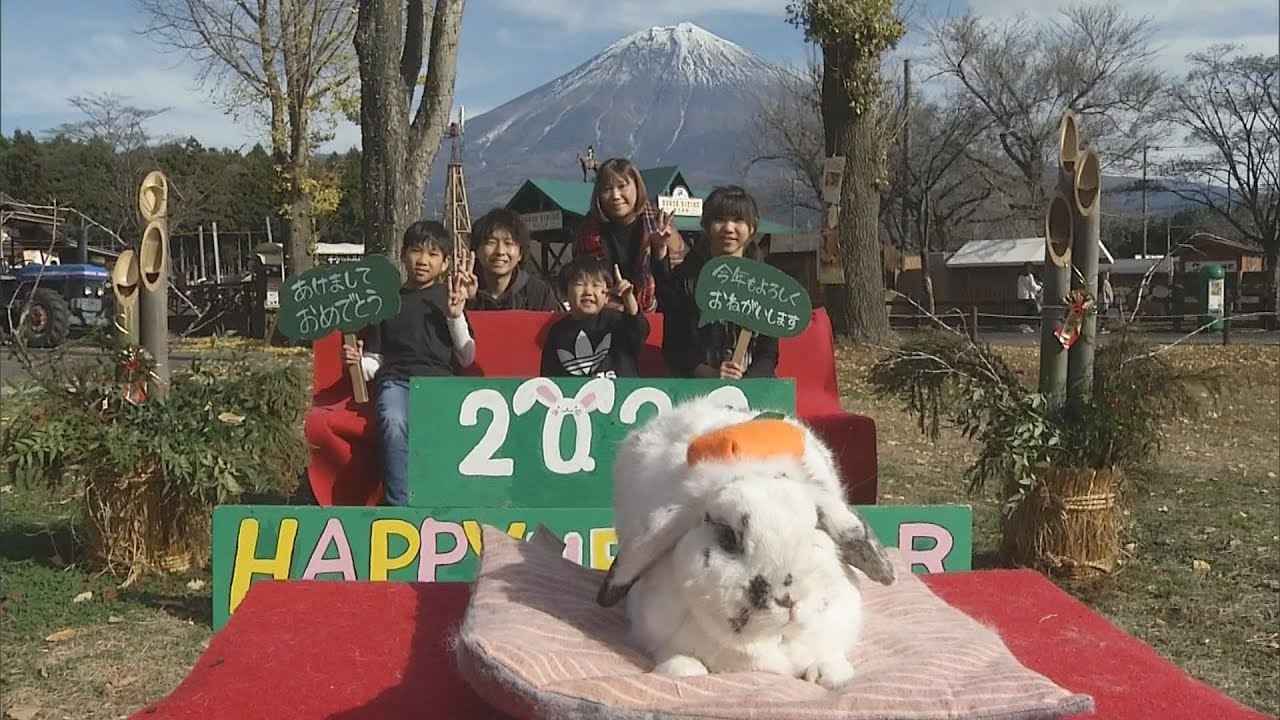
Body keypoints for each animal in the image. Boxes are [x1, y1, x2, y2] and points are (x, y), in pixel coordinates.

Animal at [596, 394, 890, 686]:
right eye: (728, 538)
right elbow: (676, 658)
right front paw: (684, 668)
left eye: (816, 526)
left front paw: (829, 674)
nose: (787, 598)